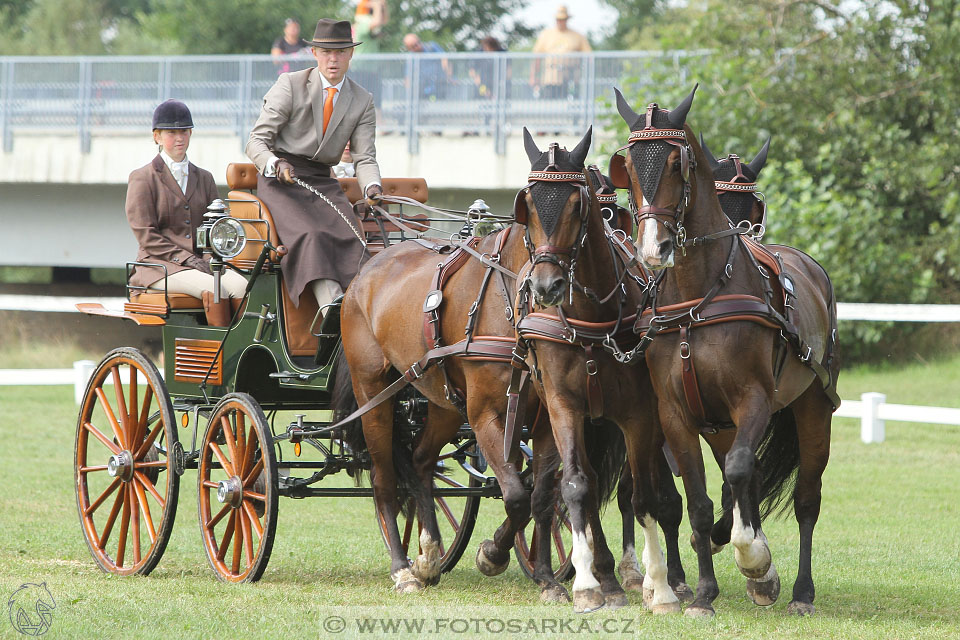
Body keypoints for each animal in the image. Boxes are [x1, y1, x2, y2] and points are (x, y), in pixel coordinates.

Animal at [338, 126, 632, 608]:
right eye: (527, 204)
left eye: (579, 204)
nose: (547, 286)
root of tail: (365, 271)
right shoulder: (486, 414)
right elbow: (516, 493)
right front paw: (494, 554)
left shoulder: (549, 414)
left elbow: (543, 494)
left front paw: (548, 579)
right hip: (374, 393)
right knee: (384, 478)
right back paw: (403, 569)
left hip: (442, 402)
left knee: (420, 462)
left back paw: (429, 556)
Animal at [612, 87, 844, 616]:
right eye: (628, 167)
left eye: (677, 163)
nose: (653, 248)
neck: (697, 299)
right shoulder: (675, 412)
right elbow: (701, 502)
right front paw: (703, 592)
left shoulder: (752, 401)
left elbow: (741, 473)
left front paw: (754, 559)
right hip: (717, 426)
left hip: (813, 407)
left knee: (805, 497)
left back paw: (800, 590)